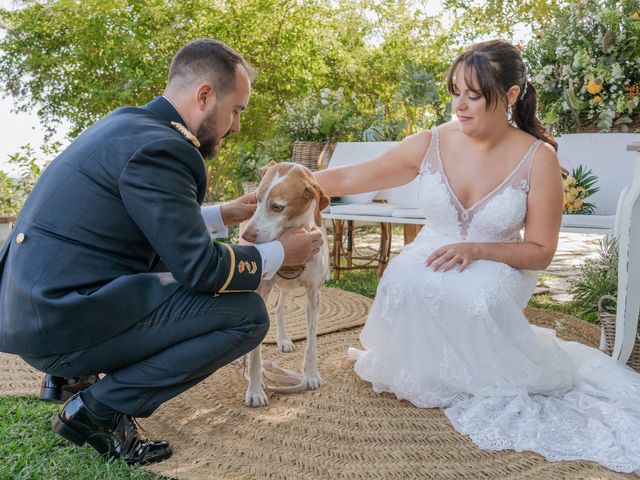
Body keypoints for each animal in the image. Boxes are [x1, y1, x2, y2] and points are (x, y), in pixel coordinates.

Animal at [240, 162, 330, 408]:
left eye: (277, 207)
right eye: (257, 199)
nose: (247, 236)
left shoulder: (313, 295)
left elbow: (311, 342)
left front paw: (311, 375)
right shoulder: (261, 291)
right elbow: (256, 355)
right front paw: (255, 389)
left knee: (279, 307)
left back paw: (283, 340)